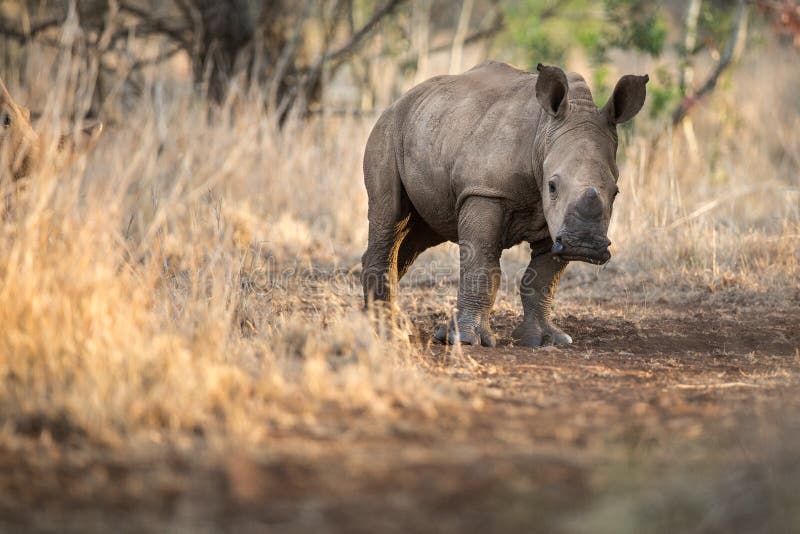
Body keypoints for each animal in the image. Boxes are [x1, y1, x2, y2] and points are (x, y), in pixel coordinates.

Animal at [362, 61, 648, 348]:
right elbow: (482, 264)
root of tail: (401, 99)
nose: (583, 246)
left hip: (430, 127)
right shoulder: (485, 192)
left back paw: (382, 321)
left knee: (418, 236)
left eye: (616, 192)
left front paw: (545, 338)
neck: (544, 135)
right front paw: (467, 339)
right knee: (390, 220)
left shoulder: (555, 224)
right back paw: (386, 329)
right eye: (552, 186)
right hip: (387, 130)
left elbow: (543, 278)